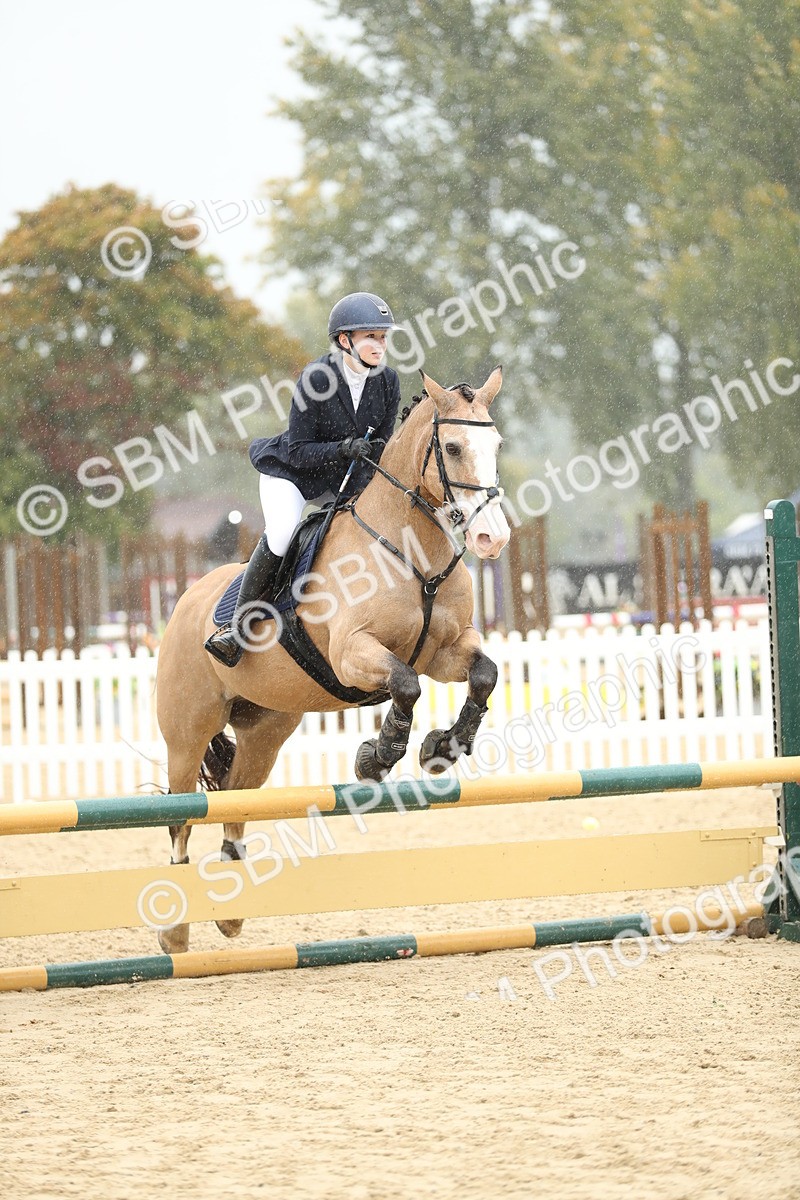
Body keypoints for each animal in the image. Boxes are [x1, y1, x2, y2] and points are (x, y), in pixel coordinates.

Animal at [155, 367, 510, 952]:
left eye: (497, 444)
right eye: (453, 448)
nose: (492, 537)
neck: (413, 553)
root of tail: (185, 600)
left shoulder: (446, 650)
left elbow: (484, 674)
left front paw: (442, 747)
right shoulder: (352, 652)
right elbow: (405, 684)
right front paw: (377, 757)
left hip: (266, 730)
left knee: (235, 798)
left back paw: (230, 912)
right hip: (187, 734)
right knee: (180, 817)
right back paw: (175, 933)